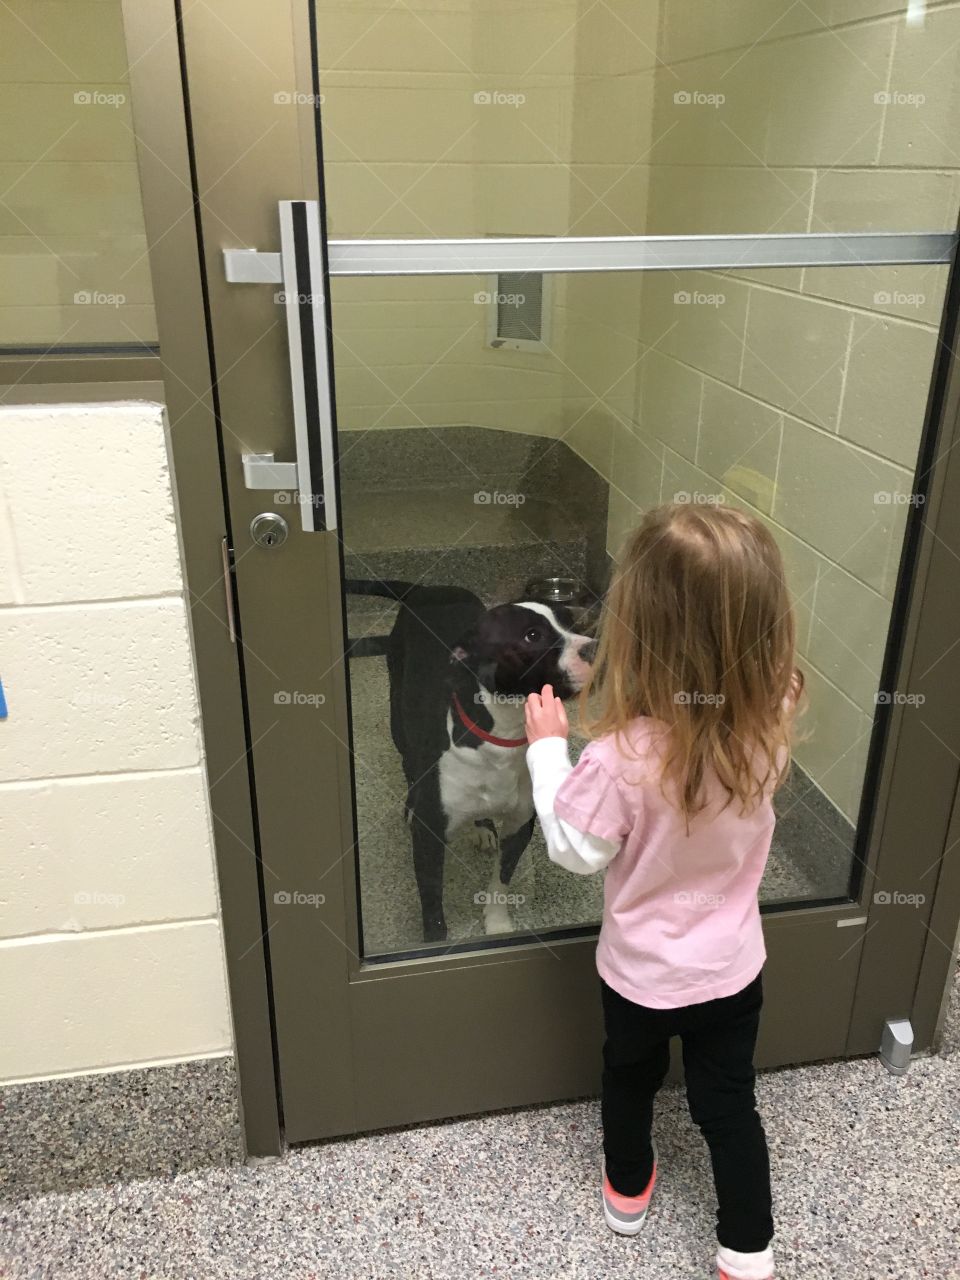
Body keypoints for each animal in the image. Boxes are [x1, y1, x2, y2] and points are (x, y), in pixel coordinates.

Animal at [350, 581, 599, 942]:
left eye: (571, 622)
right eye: (532, 635)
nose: (594, 649)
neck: (503, 735)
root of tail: (427, 586)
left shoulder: (519, 827)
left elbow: (501, 881)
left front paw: (497, 923)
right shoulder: (429, 838)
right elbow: (432, 900)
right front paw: (435, 941)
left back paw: (482, 828)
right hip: (399, 719)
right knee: (409, 763)